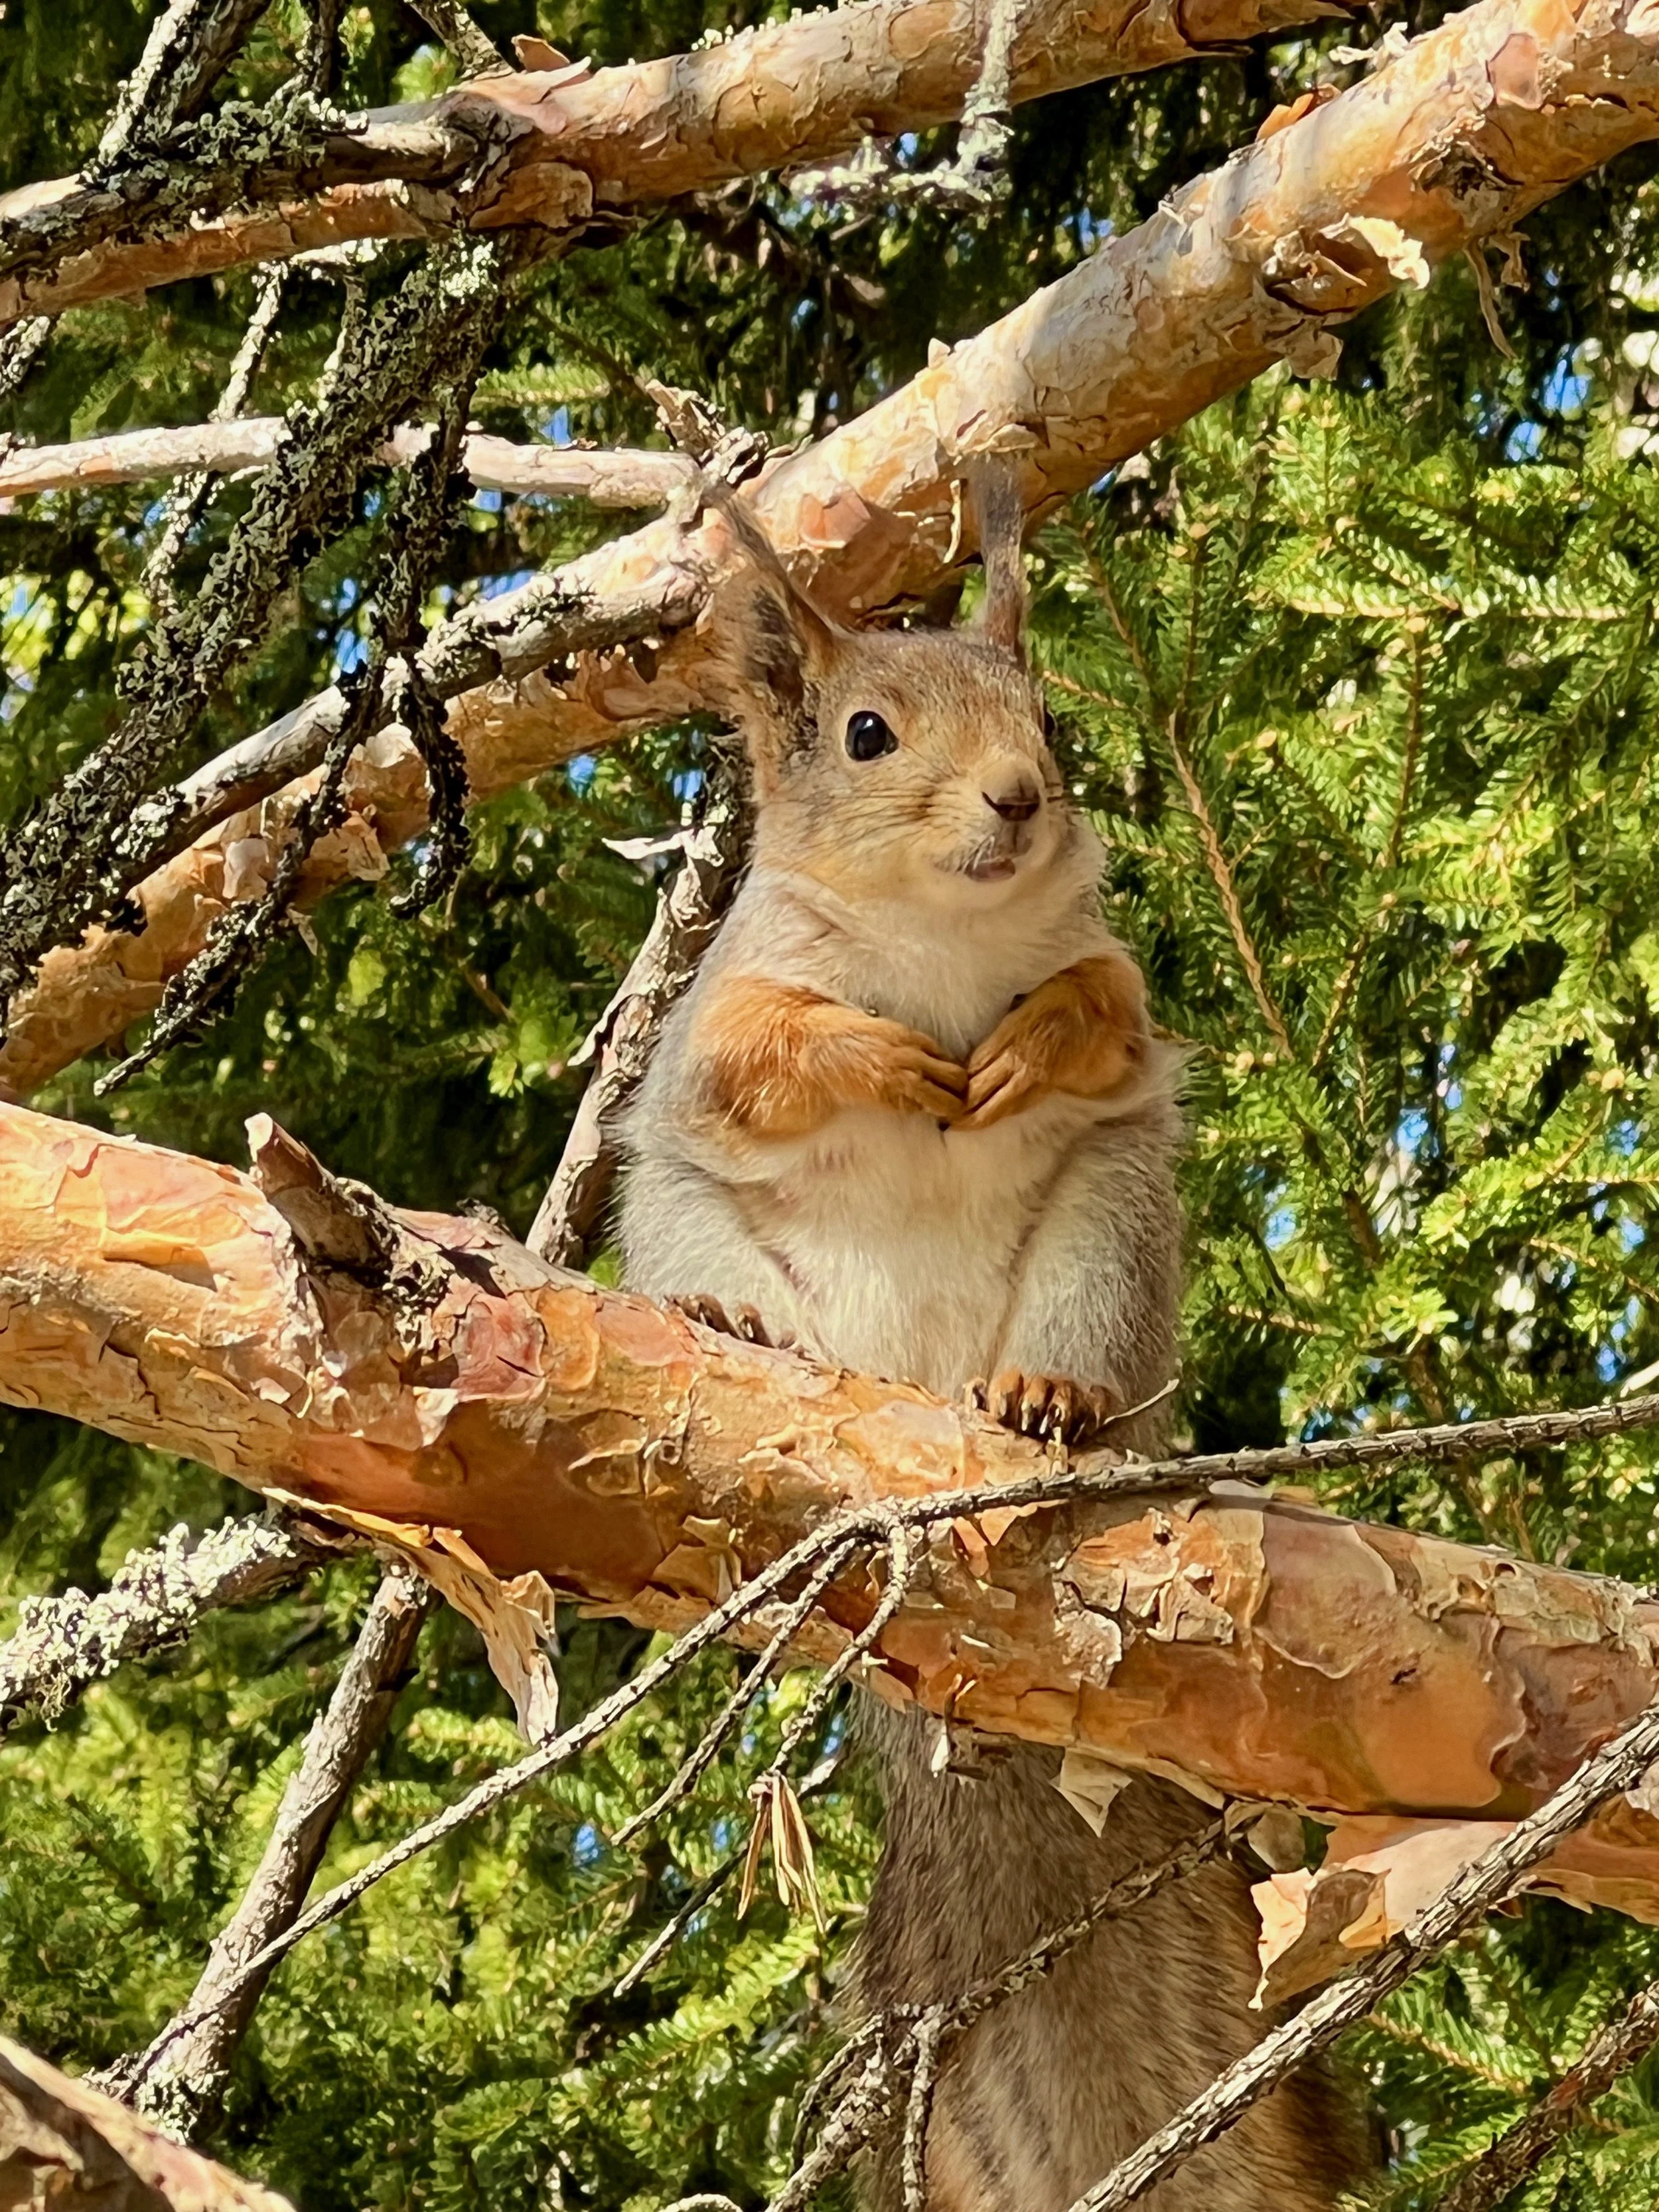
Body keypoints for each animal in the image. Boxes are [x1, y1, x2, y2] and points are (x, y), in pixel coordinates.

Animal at [617, 466, 1361, 2211]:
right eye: (864, 732)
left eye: (1049, 719)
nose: (1020, 800)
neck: (938, 945)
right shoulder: (715, 1026)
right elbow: (765, 1050)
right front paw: (882, 1060)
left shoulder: (1115, 984)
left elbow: (1101, 1005)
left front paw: (1023, 1049)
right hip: (674, 1213)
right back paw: (739, 1320)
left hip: (1111, 1236)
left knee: (1077, 1351)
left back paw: (1042, 1400)